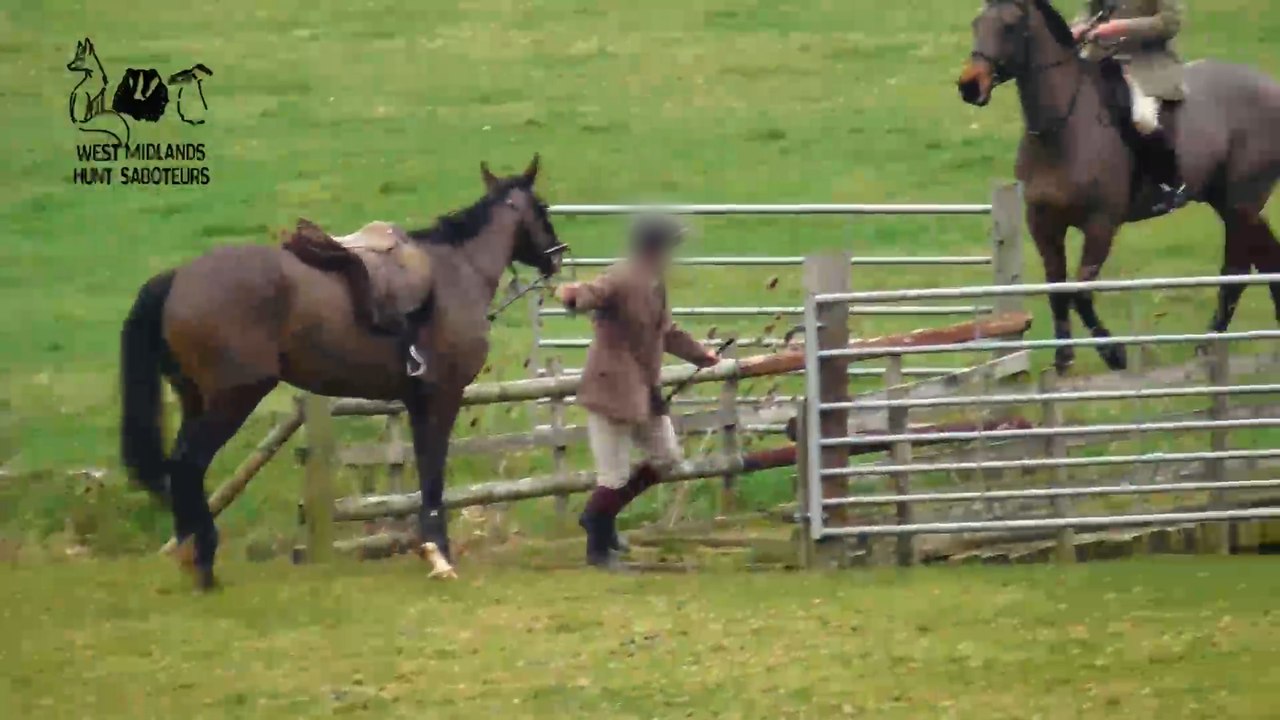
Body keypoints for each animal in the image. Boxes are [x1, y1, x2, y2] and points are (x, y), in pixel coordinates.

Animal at [120, 156, 564, 589]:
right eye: (542, 207)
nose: (558, 255)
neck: (457, 271)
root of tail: (178, 277)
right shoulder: (443, 396)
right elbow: (434, 472)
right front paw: (439, 555)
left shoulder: (417, 400)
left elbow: (425, 469)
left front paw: (430, 550)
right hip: (233, 400)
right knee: (188, 464)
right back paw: (205, 563)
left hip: (196, 399)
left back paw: (189, 555)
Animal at [956, 0, 1280, 373]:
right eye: (976, 23)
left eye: (1010, 27)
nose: (969, 86)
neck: (1062, 128)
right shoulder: (1043, 223)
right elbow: (1057, 289)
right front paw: (1063, 359)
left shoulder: (1101, 224)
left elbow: (1080, 292)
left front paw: (1114, 353)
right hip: (1230, 201)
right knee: (1264, 259)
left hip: (1242, 201)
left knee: (1236, 270)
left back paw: (1207, 345)